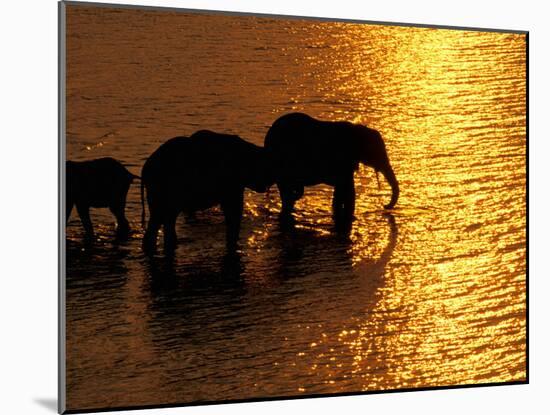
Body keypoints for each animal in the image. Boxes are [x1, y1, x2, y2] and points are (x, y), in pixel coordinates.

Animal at [140, 130, 274, 255]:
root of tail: (144, 170)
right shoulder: (231, 182)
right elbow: (233, 211)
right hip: (165, 188)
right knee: (164, 218)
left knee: (162, 219)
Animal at [264, 113, 398, 224]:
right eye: (376, 153)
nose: (385, 206)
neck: (358, 130)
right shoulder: (343, 159)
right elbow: (348, 189)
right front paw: (349, 218)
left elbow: (341, 190)